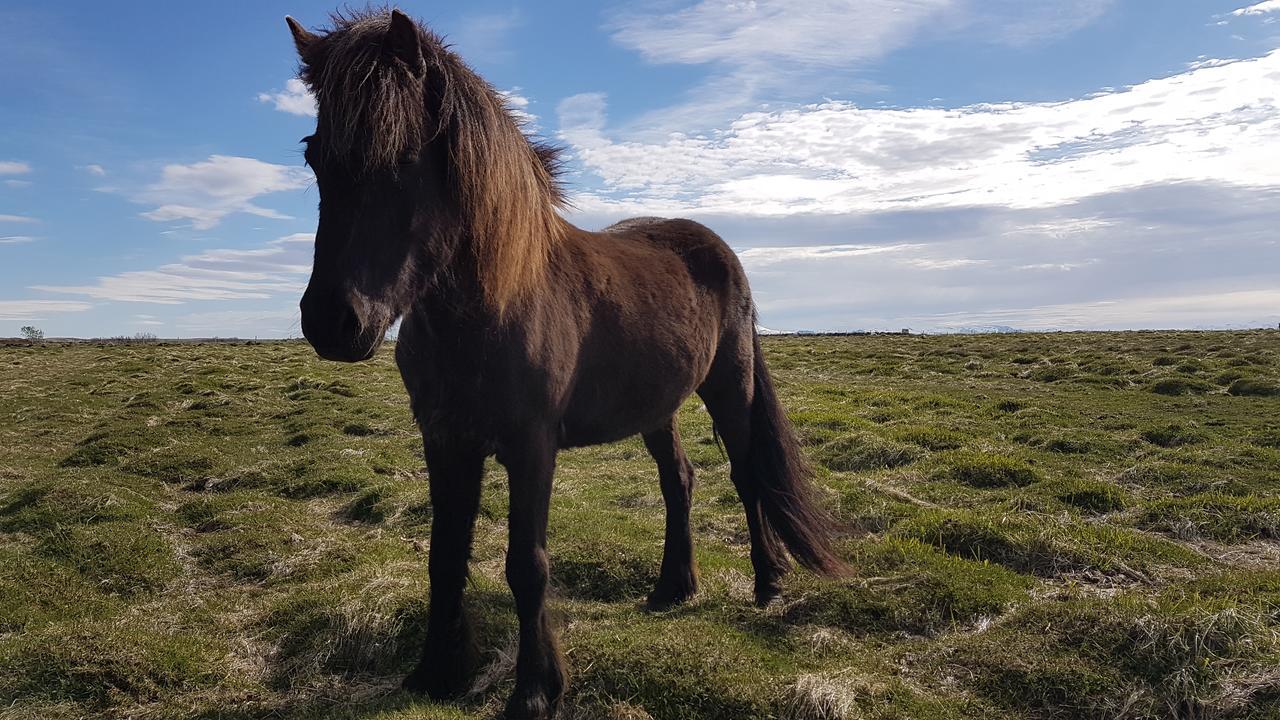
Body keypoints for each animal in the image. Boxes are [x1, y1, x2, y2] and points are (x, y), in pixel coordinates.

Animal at [284, 8, 839, 712]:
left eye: (403, 159)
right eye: (314, 156)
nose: (333, 322)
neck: (489, 306)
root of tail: (713, 246)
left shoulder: (531, 444)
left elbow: (527, 564)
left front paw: (535, 690)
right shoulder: (445, 440)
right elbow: (444, 555)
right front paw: (437, 671)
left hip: (729, 386)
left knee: (745, 475)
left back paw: (767, 584)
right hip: (656, 408)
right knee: (679, 480)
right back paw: (672, 588)